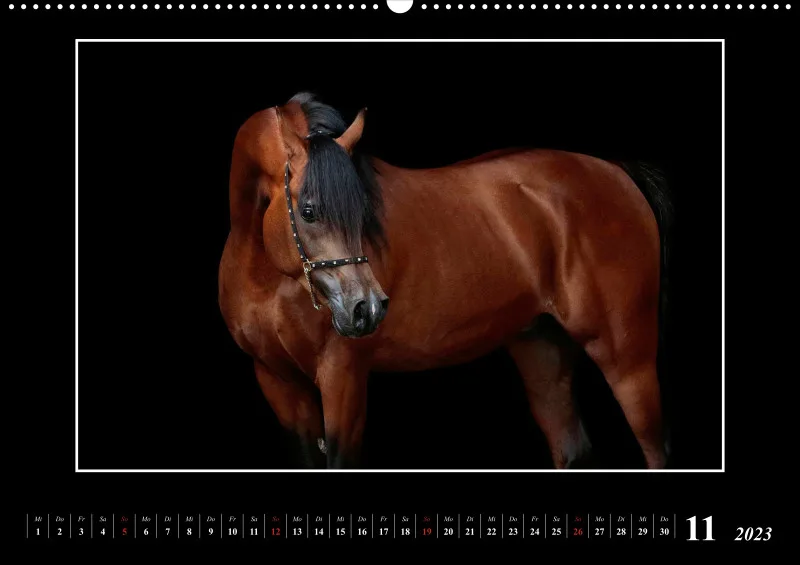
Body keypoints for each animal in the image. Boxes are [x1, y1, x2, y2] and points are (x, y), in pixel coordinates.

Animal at [218, 92, 673, 470]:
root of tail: (614, 170)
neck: (266, 277)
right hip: (541, 348)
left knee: (655, 448)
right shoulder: (278, 383)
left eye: (363, 210)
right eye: (308, 211)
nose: (367, 308)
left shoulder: (342, 376)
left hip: (626, 357)